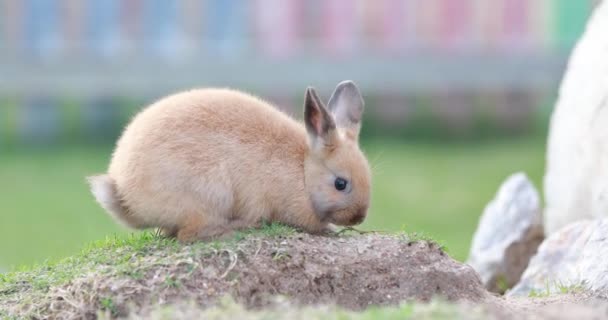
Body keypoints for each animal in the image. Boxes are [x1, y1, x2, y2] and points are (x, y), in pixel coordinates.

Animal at [86, 80, 370, 242]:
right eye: (341, 184)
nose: (359, 218)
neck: (302, 170)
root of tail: (125, 196)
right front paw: (330, 230)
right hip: (208, 196)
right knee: (189, 235)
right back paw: (239, 228)